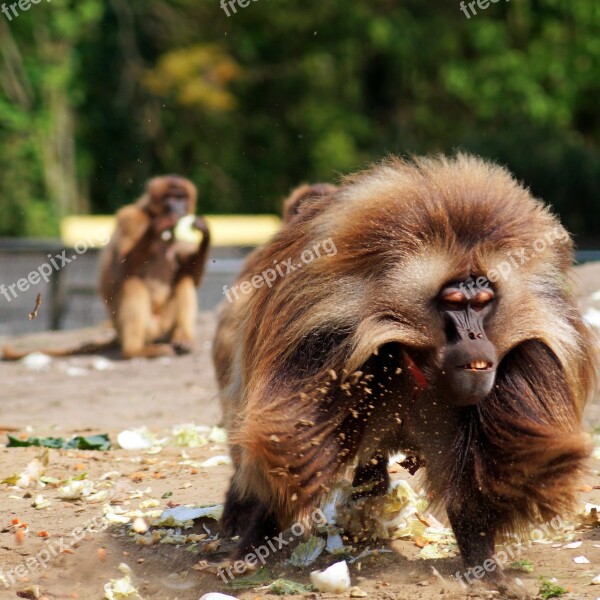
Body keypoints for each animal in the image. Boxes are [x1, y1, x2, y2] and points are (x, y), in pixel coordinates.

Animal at [98, 176, 211, 358]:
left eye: (182, 198)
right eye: (171, 198)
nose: (178, 209)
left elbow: (192, 276)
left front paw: (205, 236)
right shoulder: (131, 220)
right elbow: (120, 269)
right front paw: (156, 226)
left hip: (165, 324)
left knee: (184, 279)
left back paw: (182, 336)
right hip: (146, 327)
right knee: (132, 282)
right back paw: (134, 350)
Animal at [214, 154, 596, 584]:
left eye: (482, 302)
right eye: (453, 302)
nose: (475, 336)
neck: (423, 362)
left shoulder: (525, 359)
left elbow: (478, 482)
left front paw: (485, 569)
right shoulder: (326, 339)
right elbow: (291, 447)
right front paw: (253, 546)